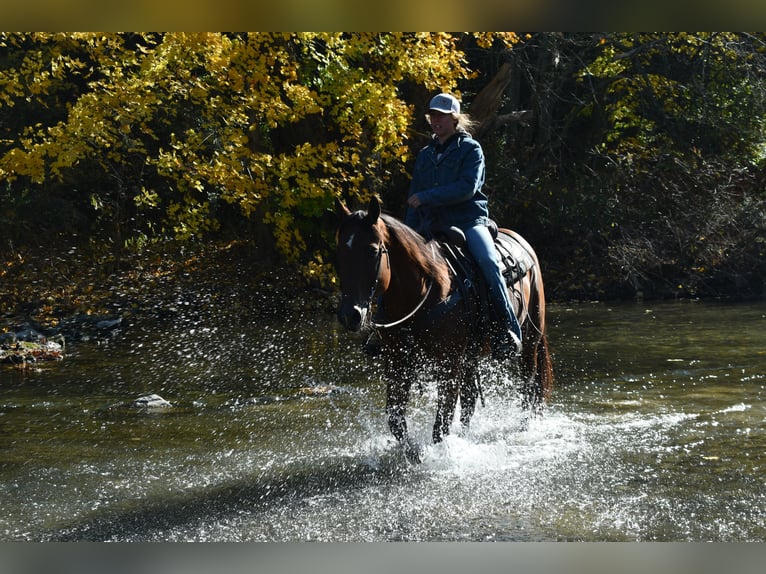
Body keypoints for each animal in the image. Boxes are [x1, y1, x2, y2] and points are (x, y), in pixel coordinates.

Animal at [336, 197, 552, 464]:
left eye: (373, 251)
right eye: (339, 253)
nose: (351, 315)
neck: (423, 293)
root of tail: (522, 242)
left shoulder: (449, 364)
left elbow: (441, 423)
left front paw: (439, 456)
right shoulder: (398, 363)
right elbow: (396, 419)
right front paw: (414, 454)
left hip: (530, 341)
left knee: (527, 387)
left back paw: (523, 428)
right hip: (470, 358)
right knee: (470, 402)